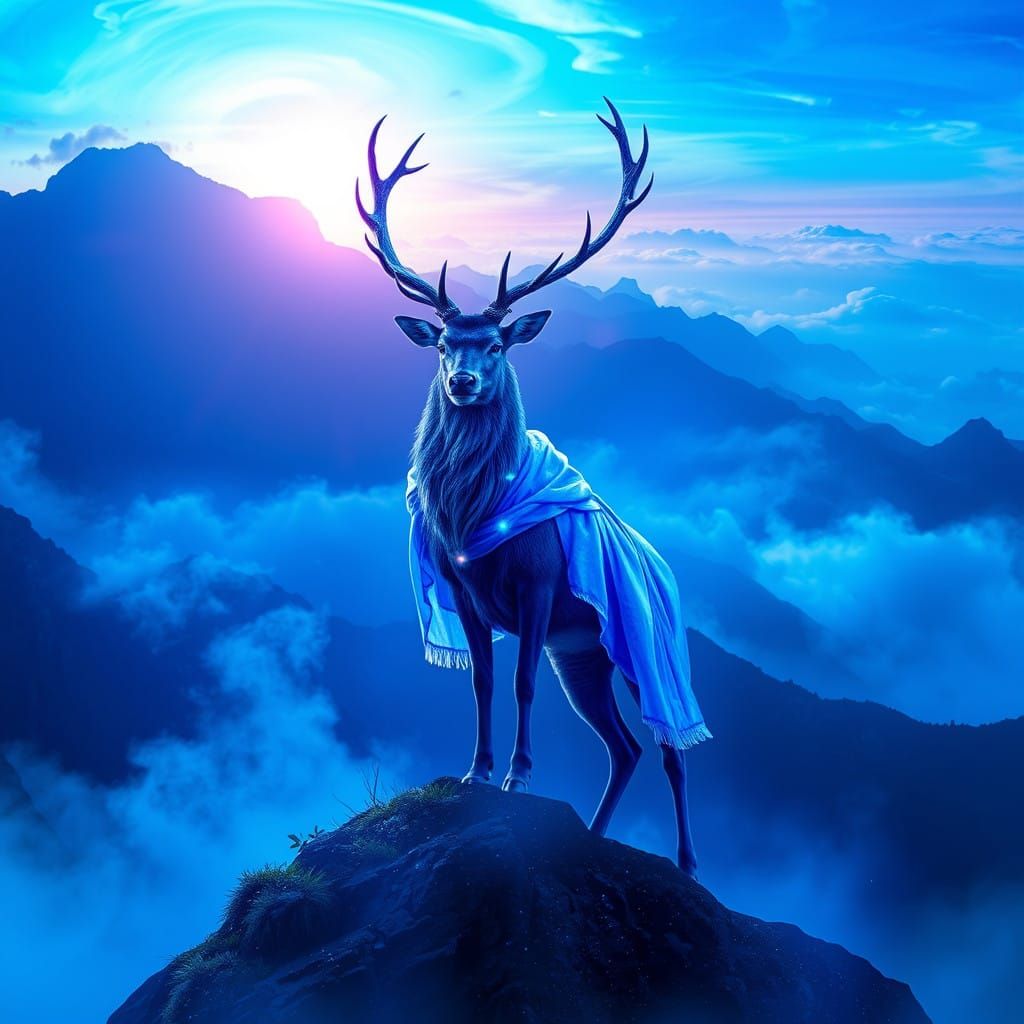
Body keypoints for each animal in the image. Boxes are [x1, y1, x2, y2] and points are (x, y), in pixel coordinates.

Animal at [356, 99, 710, 877]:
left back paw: (688, 863)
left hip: (643, 647)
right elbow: (483, 679)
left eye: (495, 344)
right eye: (443, 344)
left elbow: (520, 682)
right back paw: (595, 837)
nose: (461, 382)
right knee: (623, 747)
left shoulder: (542, 587)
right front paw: (476, 770)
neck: (474, 521)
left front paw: (519, 776)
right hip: (585, 655)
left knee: (670, 748)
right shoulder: (467, 595)